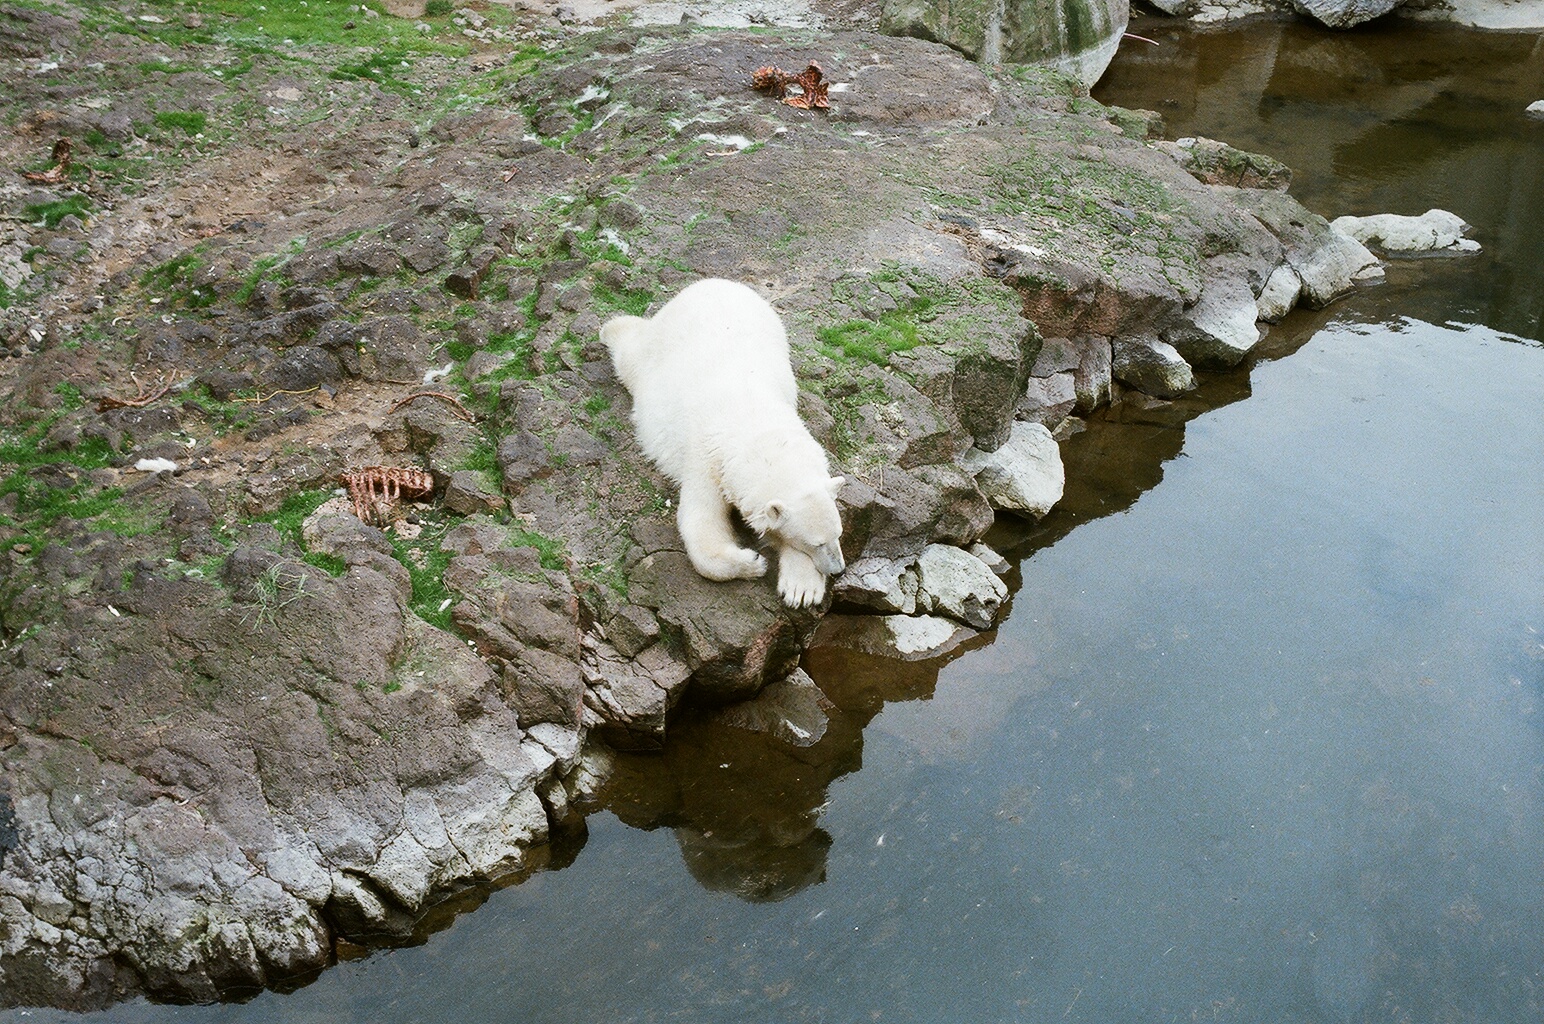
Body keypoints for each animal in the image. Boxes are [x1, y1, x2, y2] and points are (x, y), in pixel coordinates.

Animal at [600, 278, 846, 608]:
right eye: (816, 542)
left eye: (838, 533)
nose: (838, 569)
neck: (753, 424)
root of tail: (711, 282)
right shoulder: (707, 460)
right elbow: (700, 521)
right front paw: (752, 562)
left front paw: (801, 588)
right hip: (655, 351)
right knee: (631, 353)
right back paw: (611, 328)